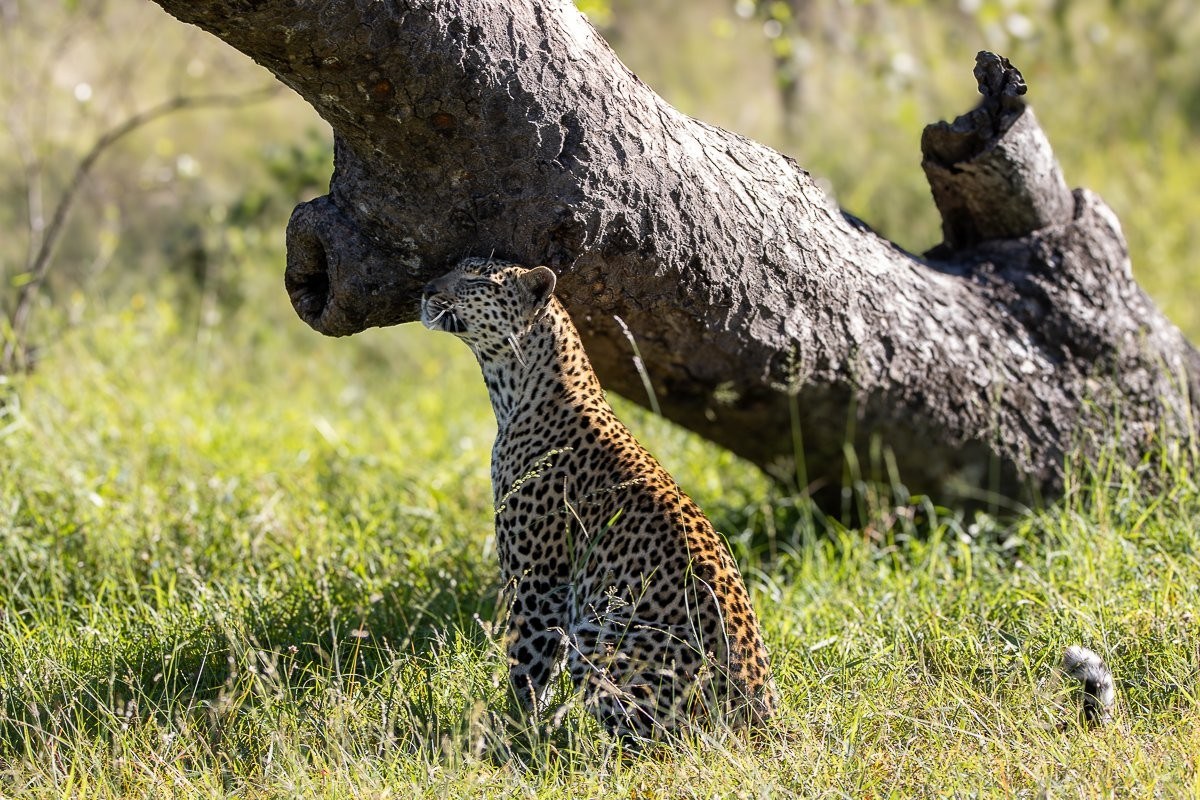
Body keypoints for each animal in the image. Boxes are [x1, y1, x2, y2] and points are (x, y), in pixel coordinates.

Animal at [420, 257, 776, 743]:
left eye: (475, 280)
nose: (425, 289)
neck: (515, 391)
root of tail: (764, 718)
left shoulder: (538, 580)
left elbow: (526, 665)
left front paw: (516, 735)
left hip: (599, 636)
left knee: (653, 741)